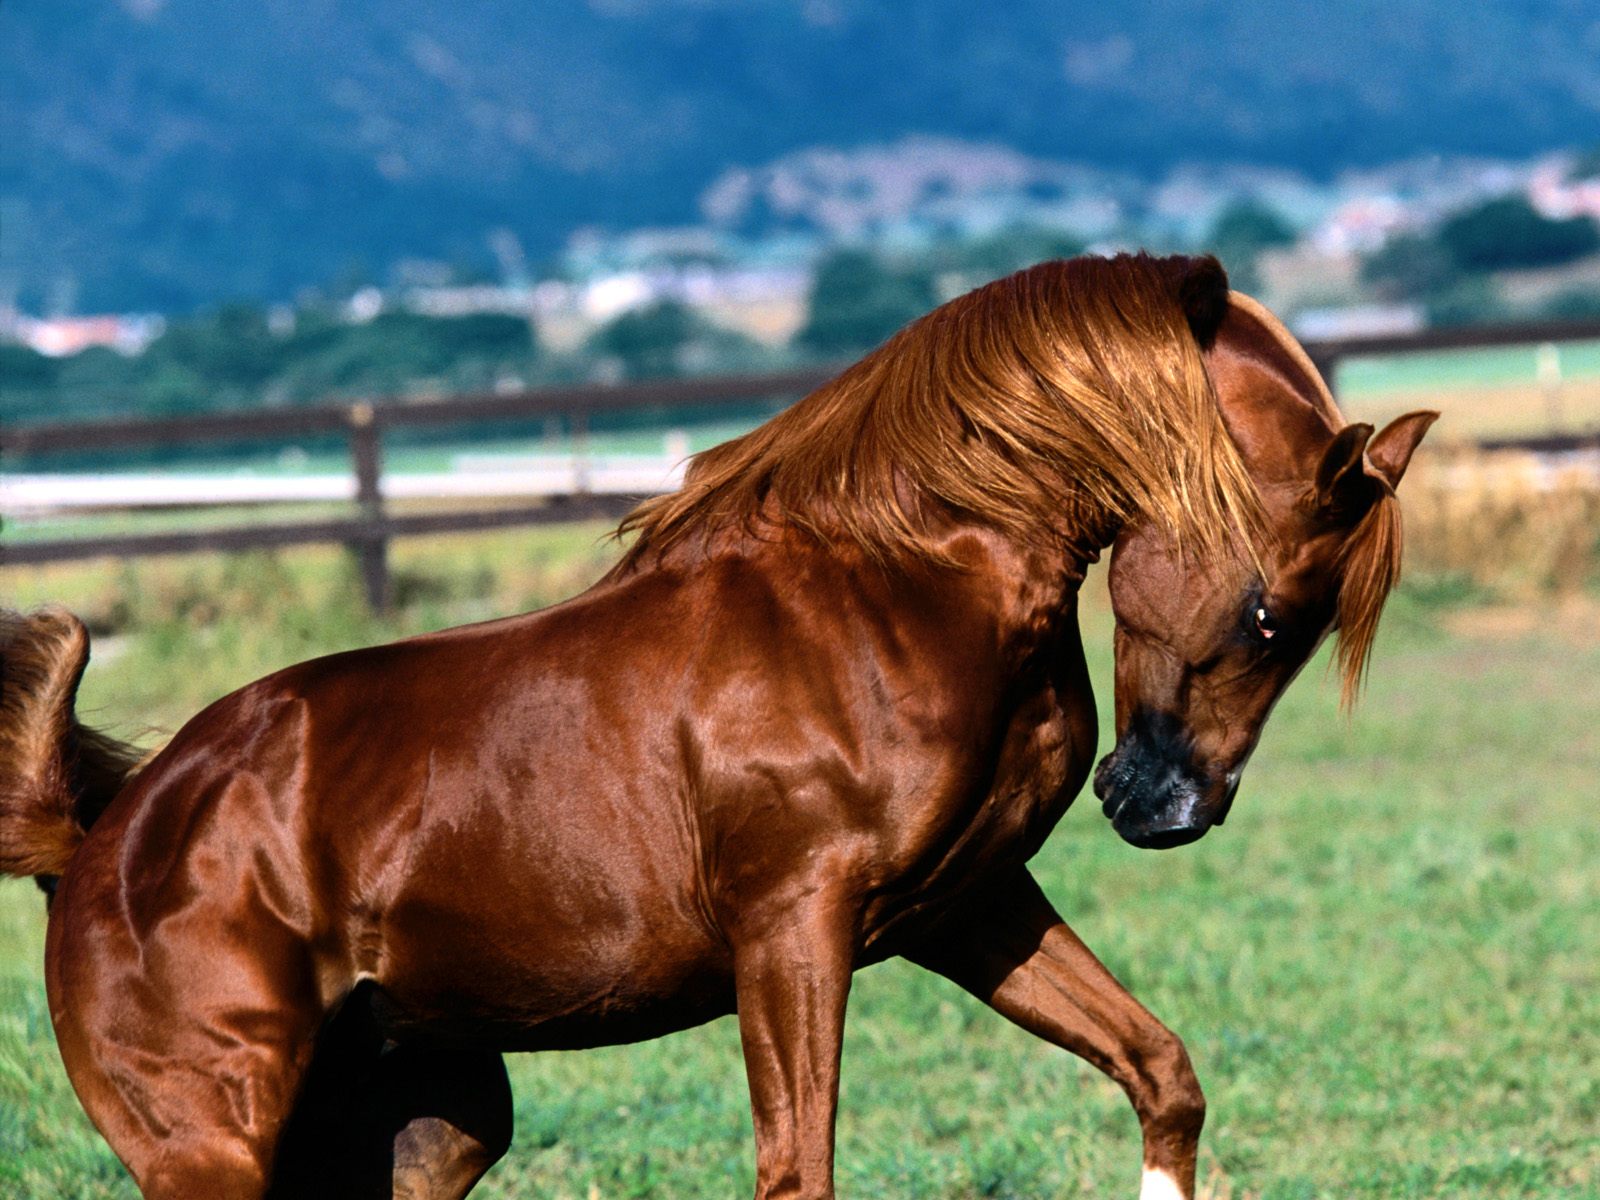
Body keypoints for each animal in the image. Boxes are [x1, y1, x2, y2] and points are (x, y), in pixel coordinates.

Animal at [3, 256, 1440, 1200]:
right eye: (1271, 613)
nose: (1165, 809)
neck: (896, 586)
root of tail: (102, 842)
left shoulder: (967, 906)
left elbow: (1160, 1071)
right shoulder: (792, 931)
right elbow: (798, 1171)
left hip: (429, 1126)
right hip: (218, 1147)